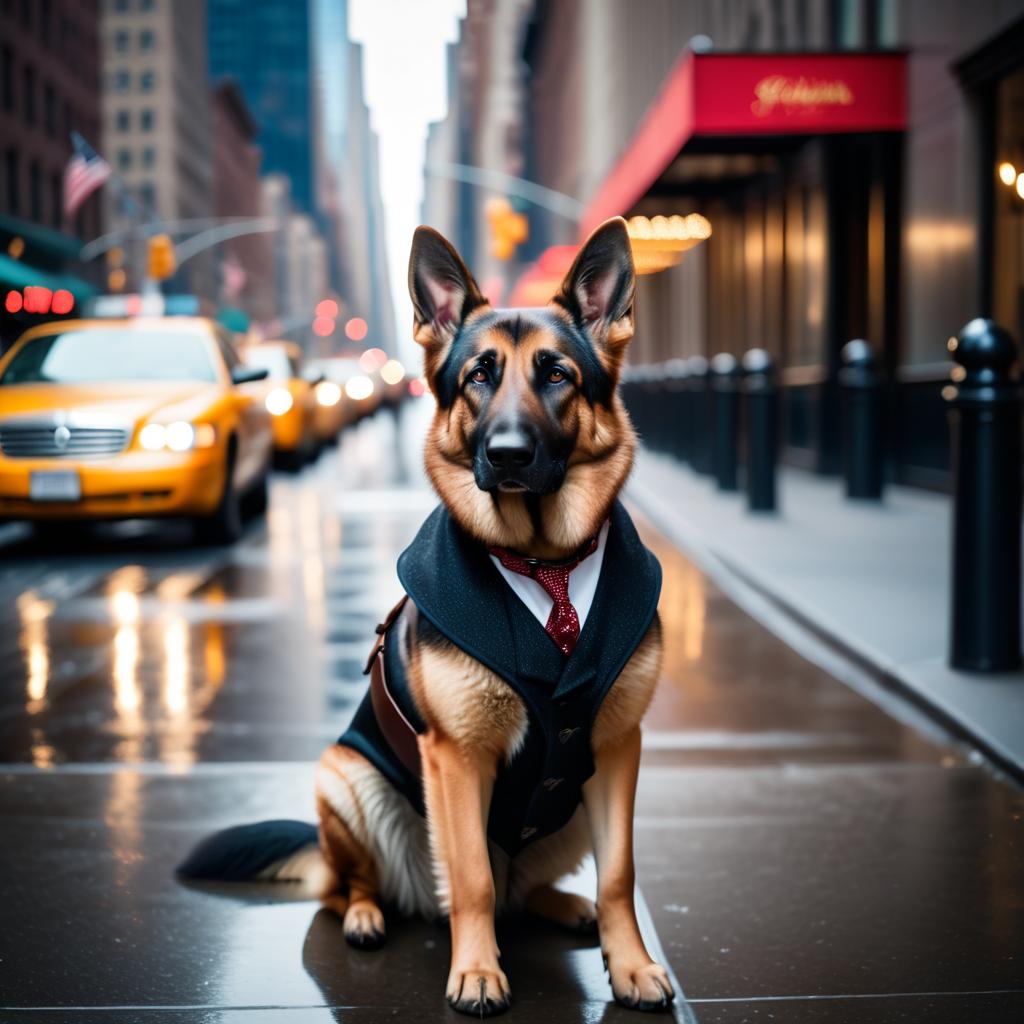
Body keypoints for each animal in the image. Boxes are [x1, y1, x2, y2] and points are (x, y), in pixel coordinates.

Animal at [178, 216, 671, 1015]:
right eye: (479, 376)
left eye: (557, 375)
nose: (508, 454)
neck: (545, 560)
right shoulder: (456, 757)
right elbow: (468, 876)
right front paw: (476, 974)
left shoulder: (618, 747)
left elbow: (620, 873)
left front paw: (629, 965)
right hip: (344, 776)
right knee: (355, 887)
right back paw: (367, 916)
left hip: (562, 812)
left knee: (520, 889)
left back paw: (564, 907)